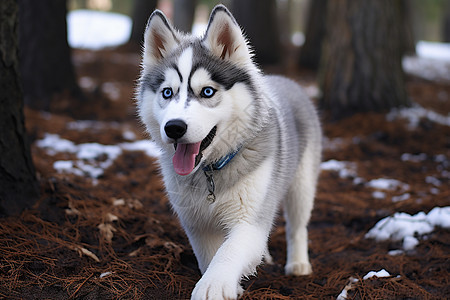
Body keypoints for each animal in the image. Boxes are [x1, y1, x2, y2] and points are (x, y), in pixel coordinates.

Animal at [135, 5, 322, 300]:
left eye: (207, 91)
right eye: (167, 93)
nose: (174, 127)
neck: (210, 171)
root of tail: (285, 79)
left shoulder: (248, 220)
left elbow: (229, 251)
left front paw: (214, 285)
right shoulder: (196, 223)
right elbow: (210, 255)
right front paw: (230, 283)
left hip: (301, 186)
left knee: (297, 226)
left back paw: (298, 263)